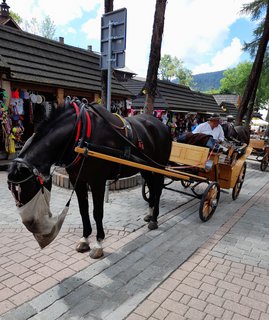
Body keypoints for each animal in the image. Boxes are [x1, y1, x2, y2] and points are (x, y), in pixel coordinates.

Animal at [8, 99, 172, 258]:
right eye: (12, 191)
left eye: (26, 187)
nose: (30, 224)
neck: (80, 134)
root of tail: (161, 125)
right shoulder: (77, 179)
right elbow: (83, 209)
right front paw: (85, 239)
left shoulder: (97, 181)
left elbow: (97, 212)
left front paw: (98, 243)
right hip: (146, 169)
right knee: (151, 188)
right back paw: (149, 214)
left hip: (159, 167)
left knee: (158, 190)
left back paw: (154, 219)